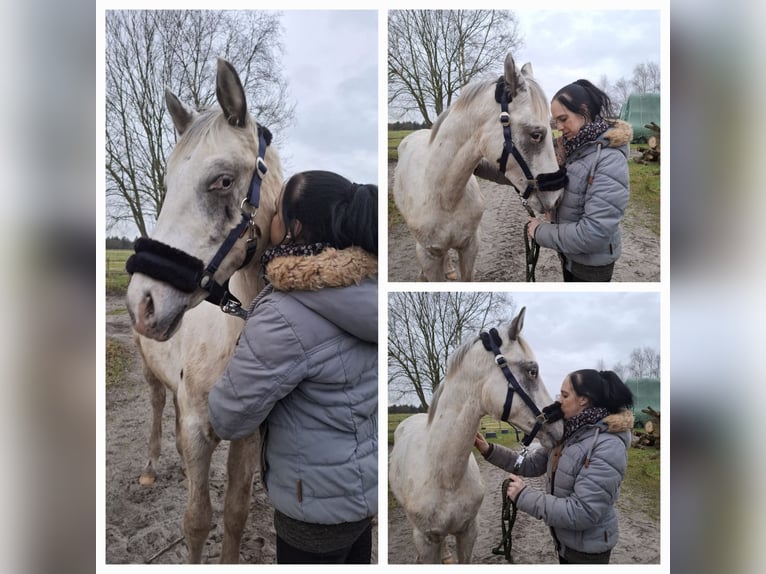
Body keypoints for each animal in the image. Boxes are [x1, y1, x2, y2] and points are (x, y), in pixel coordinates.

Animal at [124, 59, 284, 568]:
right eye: (168, 183)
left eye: (223, 180)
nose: (144, 301)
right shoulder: (198, 429)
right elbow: (196, 521)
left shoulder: (246, 436)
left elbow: (233, 514)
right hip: (152, 373)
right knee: (159, 405)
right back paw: (152, 467)